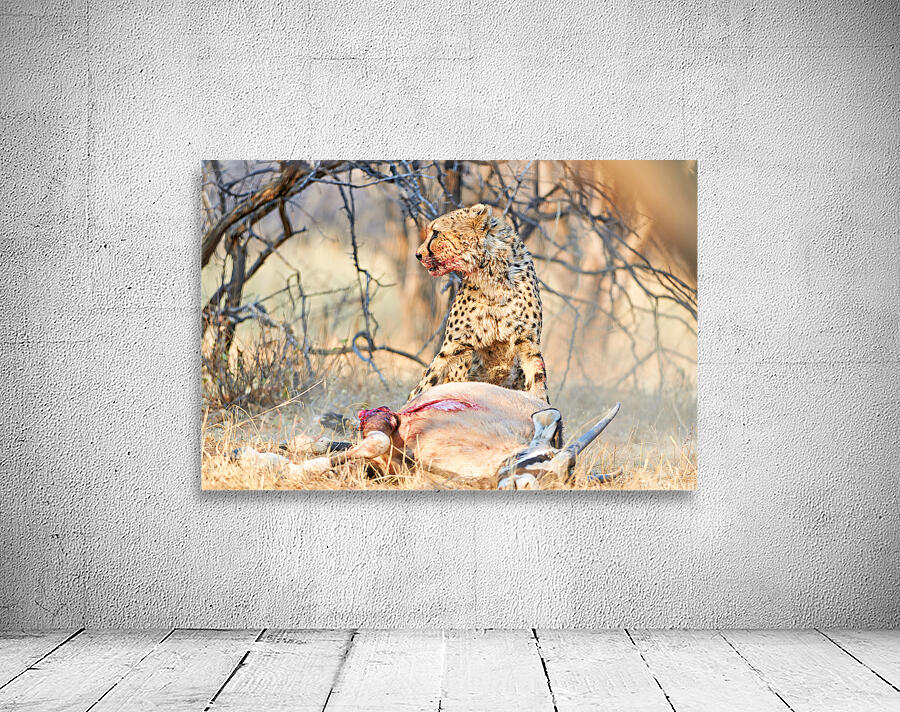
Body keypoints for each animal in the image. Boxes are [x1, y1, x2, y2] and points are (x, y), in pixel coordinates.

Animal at [409, 203, 549, 403]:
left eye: (436, 233)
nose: (418, 255)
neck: (491, 277)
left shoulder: (528, 344)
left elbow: (538, 383)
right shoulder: (453, 345)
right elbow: (427, 383)